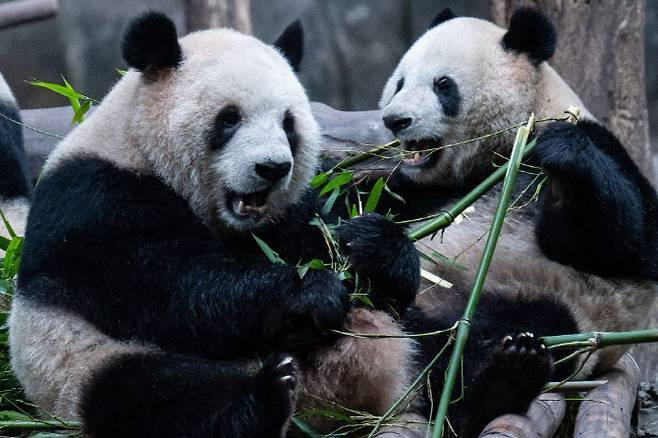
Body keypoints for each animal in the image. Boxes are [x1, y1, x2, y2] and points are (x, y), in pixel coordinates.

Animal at [6, 11, 426, 438]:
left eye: (288, 124)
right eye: (229, 118)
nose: (272, 168)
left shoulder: (283, 218)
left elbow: (325, 239)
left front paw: (372, 246)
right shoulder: (95, 199)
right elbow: (171, 289)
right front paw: (310, 291)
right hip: (81, 364)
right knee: (158, 398)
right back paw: (264, 398)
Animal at [368, 6, 656, 438]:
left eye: (443, 85)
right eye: (399, 82)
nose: (395, 120)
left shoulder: (596, 146)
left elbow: (625, 245)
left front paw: (564, 157)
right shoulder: (426, 190)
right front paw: (373, 241)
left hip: (560, 308)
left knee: (516, 331)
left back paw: (500, 380)